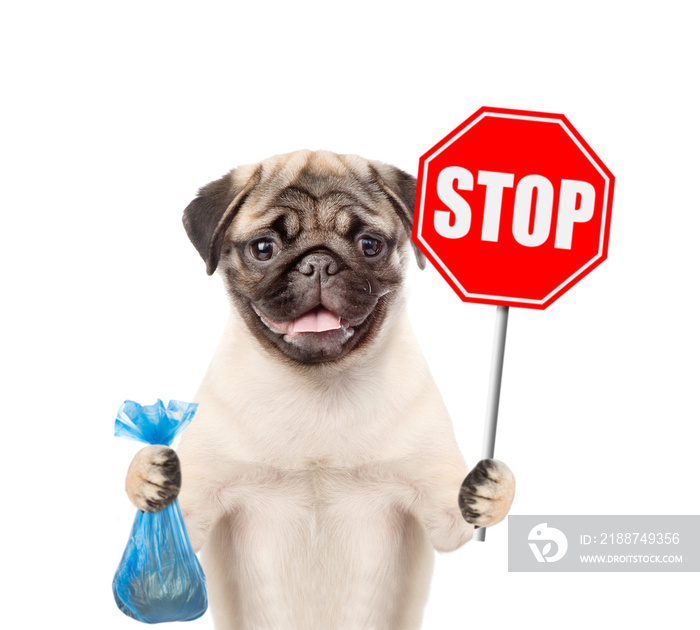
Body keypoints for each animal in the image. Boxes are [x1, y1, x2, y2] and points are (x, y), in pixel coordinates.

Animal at [126, 152, 516, 630]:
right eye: (263, 248)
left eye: (370, 245)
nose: (318, 263)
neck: (316, 388)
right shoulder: (198, 506)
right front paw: (146, 474)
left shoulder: (437, 511)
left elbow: (462, 514)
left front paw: (491, 488)